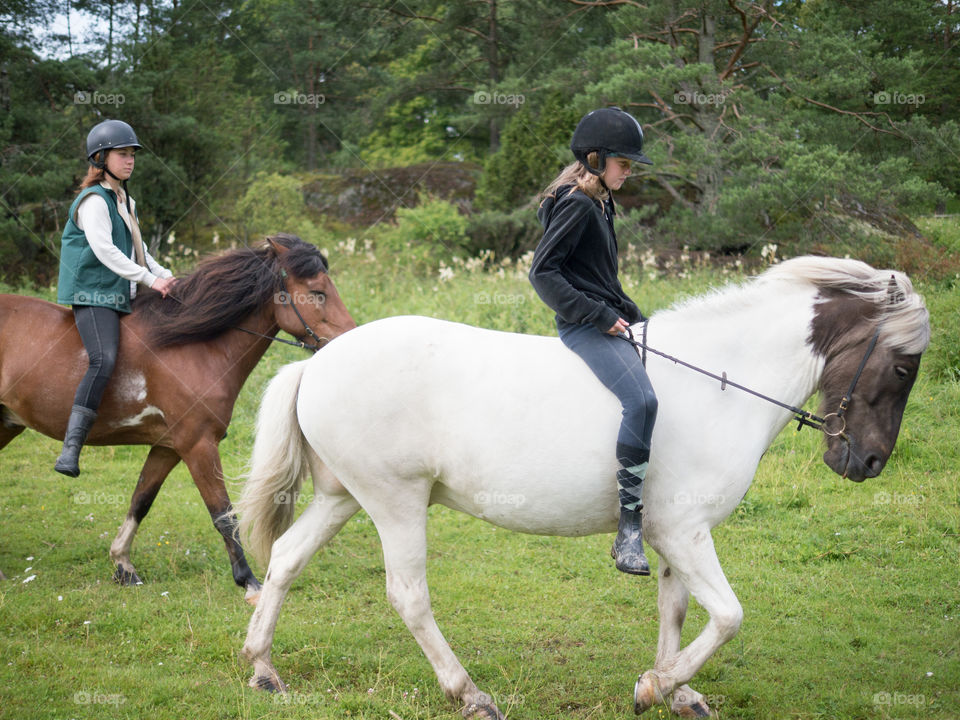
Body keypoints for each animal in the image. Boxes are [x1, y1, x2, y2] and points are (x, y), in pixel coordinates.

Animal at [0, 233, 354, 600]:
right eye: (317, 292)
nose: (349, 337)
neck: (193, 347)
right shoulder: (198, 445)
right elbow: (223, 514)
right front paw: (248, 580)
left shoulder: (168, 446)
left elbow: (141, 501)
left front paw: (123, 565)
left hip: (6, 424)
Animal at [238, 256, 928, 716]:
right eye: (901, 368)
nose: (869, 463)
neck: (721, 381)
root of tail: (316, 363)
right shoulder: (685, 530)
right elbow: (729, 615)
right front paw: (654, 687)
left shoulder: (673, 533)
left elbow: (677, 609)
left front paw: (677, 689)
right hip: (394, 501)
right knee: (408, 595)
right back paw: (470, 693)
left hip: (343, 497)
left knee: (286, 559)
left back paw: (263, 669)